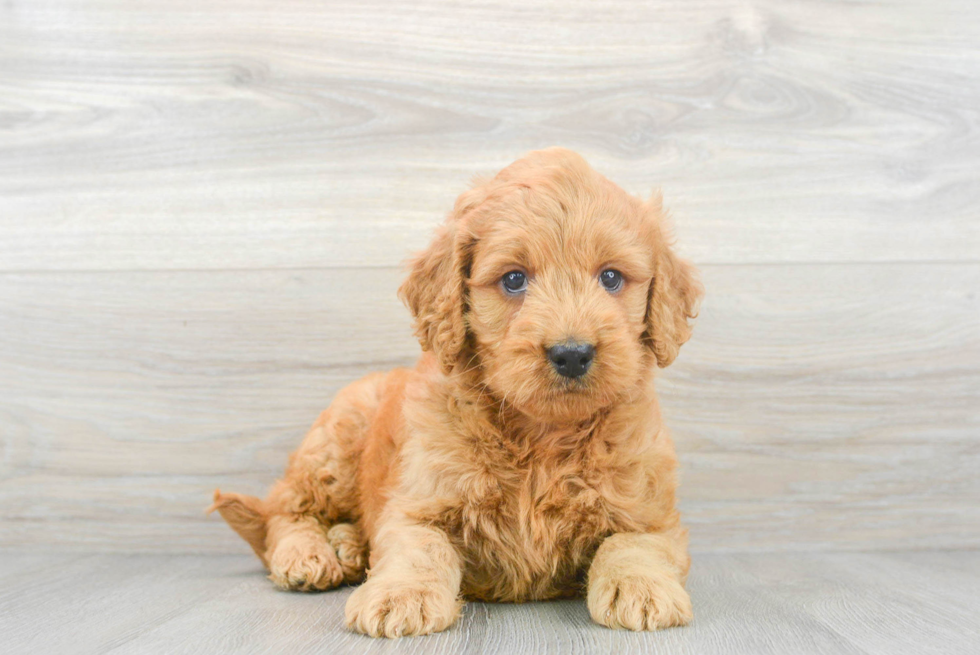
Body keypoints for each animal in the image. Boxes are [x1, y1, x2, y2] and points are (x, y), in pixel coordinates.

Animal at [212, 147, 704, 636]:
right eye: (513, 280)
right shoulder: (418, 502)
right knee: (285, 511)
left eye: (611, 278)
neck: (542, 437)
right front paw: (402, 594)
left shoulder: (650, 509)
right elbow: (418, 546)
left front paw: (641, 588)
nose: (572, 353)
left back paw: (348, 546)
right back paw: (308, 555)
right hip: (334, 444)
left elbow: (634, 543)